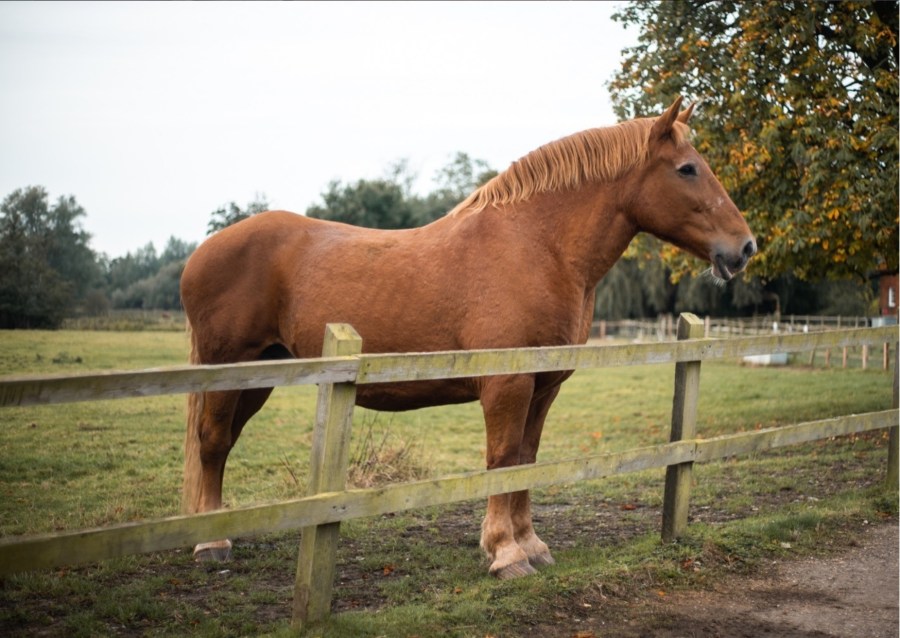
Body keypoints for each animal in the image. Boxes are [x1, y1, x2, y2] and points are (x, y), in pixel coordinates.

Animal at [179, 99, 756, 580]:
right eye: (687, 169)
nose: (745, 247)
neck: (536, 246)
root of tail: (203, 251)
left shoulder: (543, 387)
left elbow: (524, 458)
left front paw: (531, 544)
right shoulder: (507, 384)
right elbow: (501, 458)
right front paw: (505, 553)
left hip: (260, 375)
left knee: (223, 441)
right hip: (228, 369)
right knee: (213, 441)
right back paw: (210, 545)